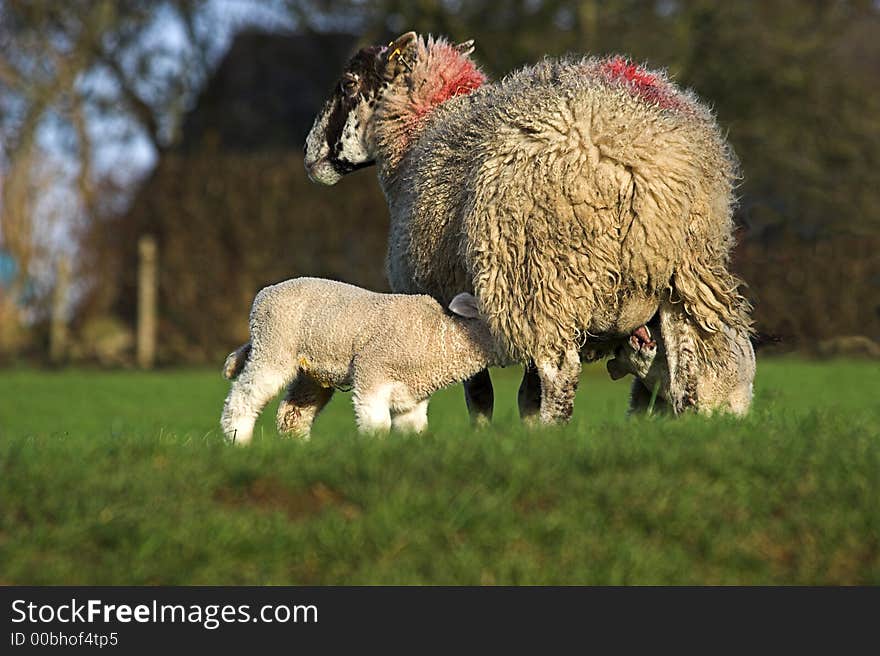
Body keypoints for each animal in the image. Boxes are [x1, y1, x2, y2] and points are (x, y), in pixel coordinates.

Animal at [220, 276, 506, 440]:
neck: (439, 337)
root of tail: (264, 293)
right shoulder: (373, 368)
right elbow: (377, 424)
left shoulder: (411, 396)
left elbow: (414, 429)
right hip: (274, 346)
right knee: (243, 397)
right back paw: (238, 441)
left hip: (312, 368)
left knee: (293, 413)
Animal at [302, 30, 748, 422]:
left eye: (347, 84)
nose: (309, 156)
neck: (419, 134)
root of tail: (640, 158)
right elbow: (526, 395)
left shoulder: (449, 298)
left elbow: (480, 394)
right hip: (682, 278)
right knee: (685, 376)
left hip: (541, 272)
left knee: (561, 370)